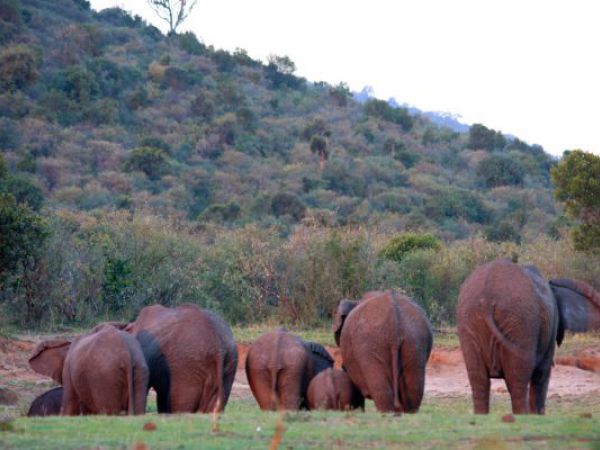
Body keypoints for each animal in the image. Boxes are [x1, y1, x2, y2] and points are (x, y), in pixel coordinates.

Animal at [458, 258, 600, 414]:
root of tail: (486, 299)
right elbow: (542, 373)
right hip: (521, 322)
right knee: (517, 381)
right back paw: (522, 416)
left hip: (470, 320)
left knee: (479, 380)